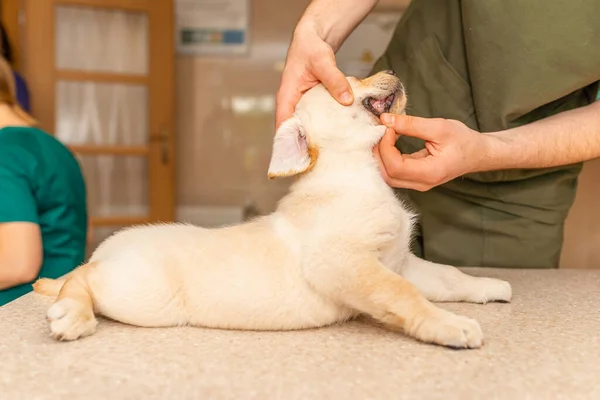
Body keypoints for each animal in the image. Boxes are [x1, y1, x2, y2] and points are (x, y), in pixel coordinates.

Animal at [32, 70, 510, 348]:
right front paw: (450, 326)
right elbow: (402, 295)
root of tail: (108, 249)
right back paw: (71, 315)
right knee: (79, 278)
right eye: (346, 81)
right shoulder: (344, 262)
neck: (357, 173)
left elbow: (449, 277)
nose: (392, 69)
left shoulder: (401, 261)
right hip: (141, 294)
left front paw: (489, 285)